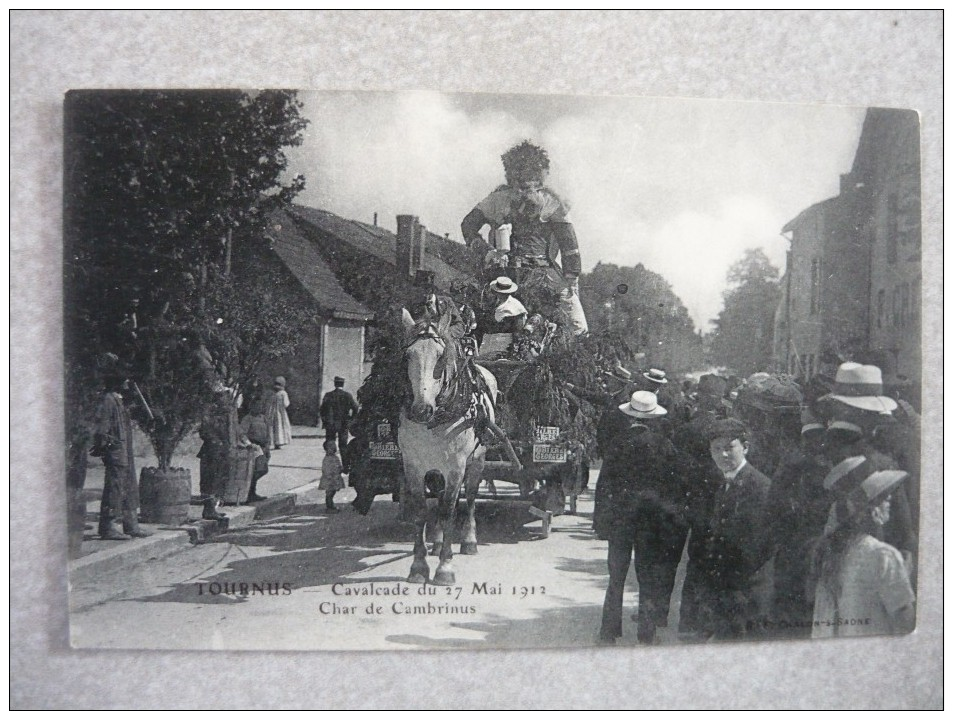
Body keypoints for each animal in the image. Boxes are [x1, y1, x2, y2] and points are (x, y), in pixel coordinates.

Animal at [398, 306, 498, 584]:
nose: (421, 410)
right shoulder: (413, 466)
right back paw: (436, 541)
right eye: (407, 355)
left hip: (477, 459)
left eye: (441, 356)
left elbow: (448, 511)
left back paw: (469, 541)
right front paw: (418, 566)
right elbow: (422, 512)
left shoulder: (456, 467)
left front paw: (445, 567)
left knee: (471, 497)